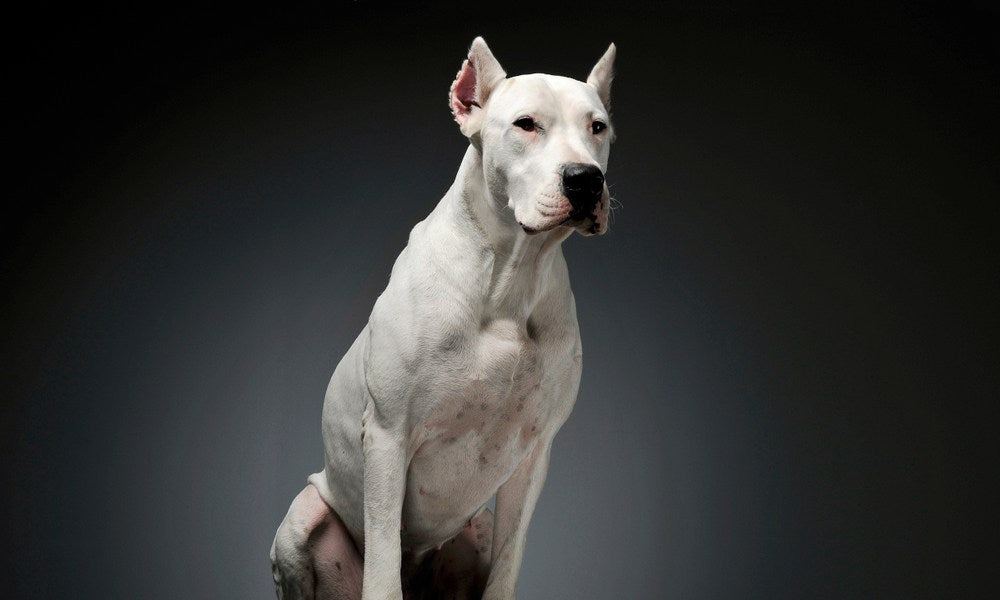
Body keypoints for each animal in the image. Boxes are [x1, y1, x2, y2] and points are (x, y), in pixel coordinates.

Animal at [274, 37, 616, 600]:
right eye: (525, 124)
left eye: (598, 126)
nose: (586, 179)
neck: (510, 278)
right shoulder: (388, 435)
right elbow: (383, 568)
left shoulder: (535, 452)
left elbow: (508, 562)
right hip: (301, 517)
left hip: (476, 526)